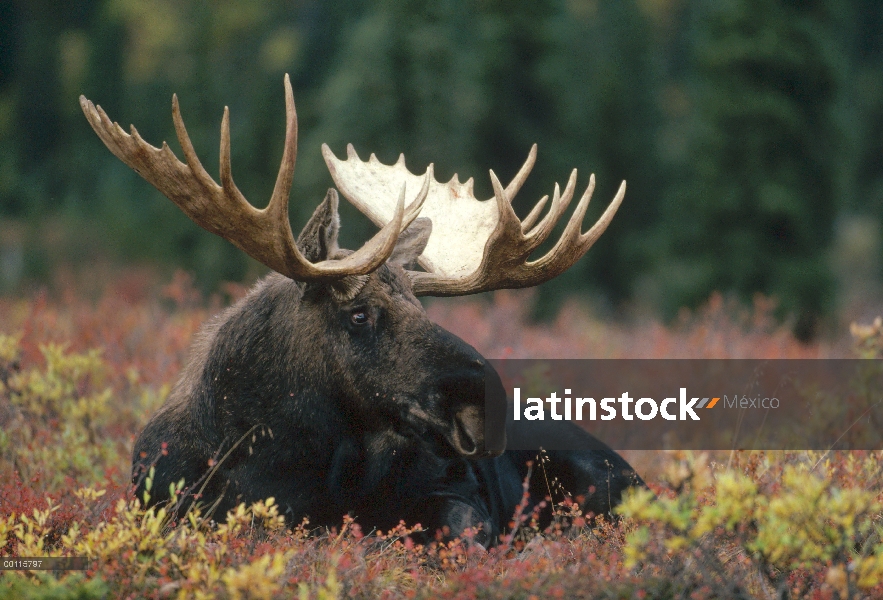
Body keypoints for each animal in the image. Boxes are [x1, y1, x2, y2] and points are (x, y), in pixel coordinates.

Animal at [81, 74, 644, 544]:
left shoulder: (456, 491)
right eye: (358, 314)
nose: (482, 408)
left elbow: (460, 531)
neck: (272, 461)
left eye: (422, 308)